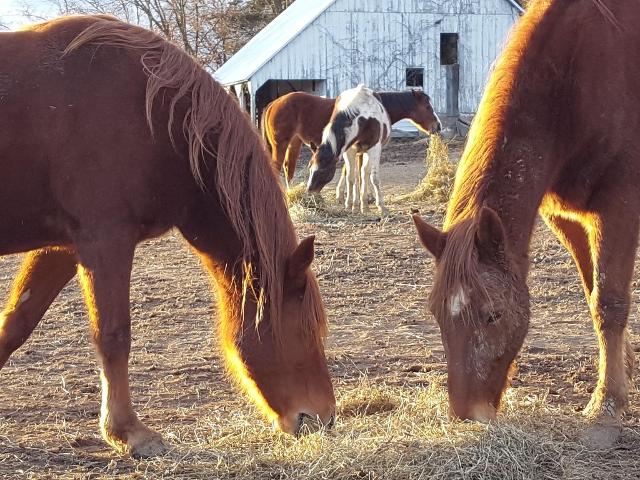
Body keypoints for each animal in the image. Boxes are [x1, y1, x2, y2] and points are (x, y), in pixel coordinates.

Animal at [0, 15, 338, 458]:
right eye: (305, 330)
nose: (324, 418)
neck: (157, 120)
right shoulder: (105, 239)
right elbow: (113, 334)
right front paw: (128, 432)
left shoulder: (63, 246)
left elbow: (16, 323)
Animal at [306, 85, 440, 215]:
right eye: (310, 168)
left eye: (323, 170)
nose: (309, 191)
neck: (362, 118)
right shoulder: (349, 151)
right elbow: (351, 177)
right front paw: (349, 206)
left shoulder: (374, 148)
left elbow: (373, 177)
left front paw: (380, 207)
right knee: (359, 174)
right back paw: (357, 204)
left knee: (363, 173)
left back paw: (363, 205)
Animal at [412, 0, 636, 448]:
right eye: (437, 315)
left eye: (493, 314)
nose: (469, 415)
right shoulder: (568, 218)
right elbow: (593, 292)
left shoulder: (617, 206)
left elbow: (609, 302)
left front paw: (606, 404)